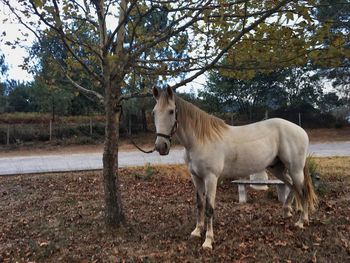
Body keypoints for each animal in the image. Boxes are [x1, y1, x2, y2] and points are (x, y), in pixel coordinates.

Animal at [150, 86, 318, 250]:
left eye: (171, 111)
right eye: (154, 112)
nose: (161, 146)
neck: (200, 140)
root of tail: (300, 130)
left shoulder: (211, 178)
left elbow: (209, 208)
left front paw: (208, 241)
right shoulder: (196, 177)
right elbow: (199, 204)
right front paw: (197, 232)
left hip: (295, 169)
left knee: (302, 191)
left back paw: (302, 221)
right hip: (277, 168)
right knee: (292, 186)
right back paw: (288, 211)